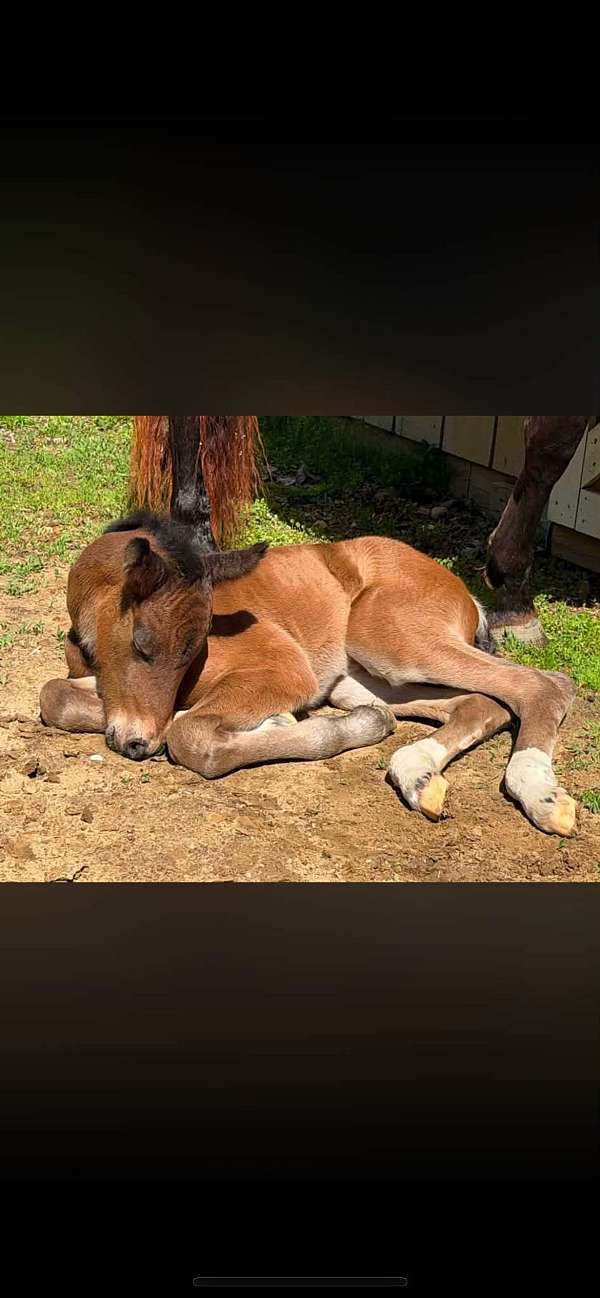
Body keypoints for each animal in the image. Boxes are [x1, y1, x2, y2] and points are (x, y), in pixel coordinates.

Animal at [39, 509, 578, 838]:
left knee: (546, 683)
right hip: (361, 680)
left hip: (390, 640)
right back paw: (418, 773)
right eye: (141, 642)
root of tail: (464, 590)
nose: (137, 746)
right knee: (481, 702)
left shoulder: (285, 667)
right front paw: (276, 721)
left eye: (196, 648)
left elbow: (190, 735)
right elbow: (54, 695)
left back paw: (539, 793)